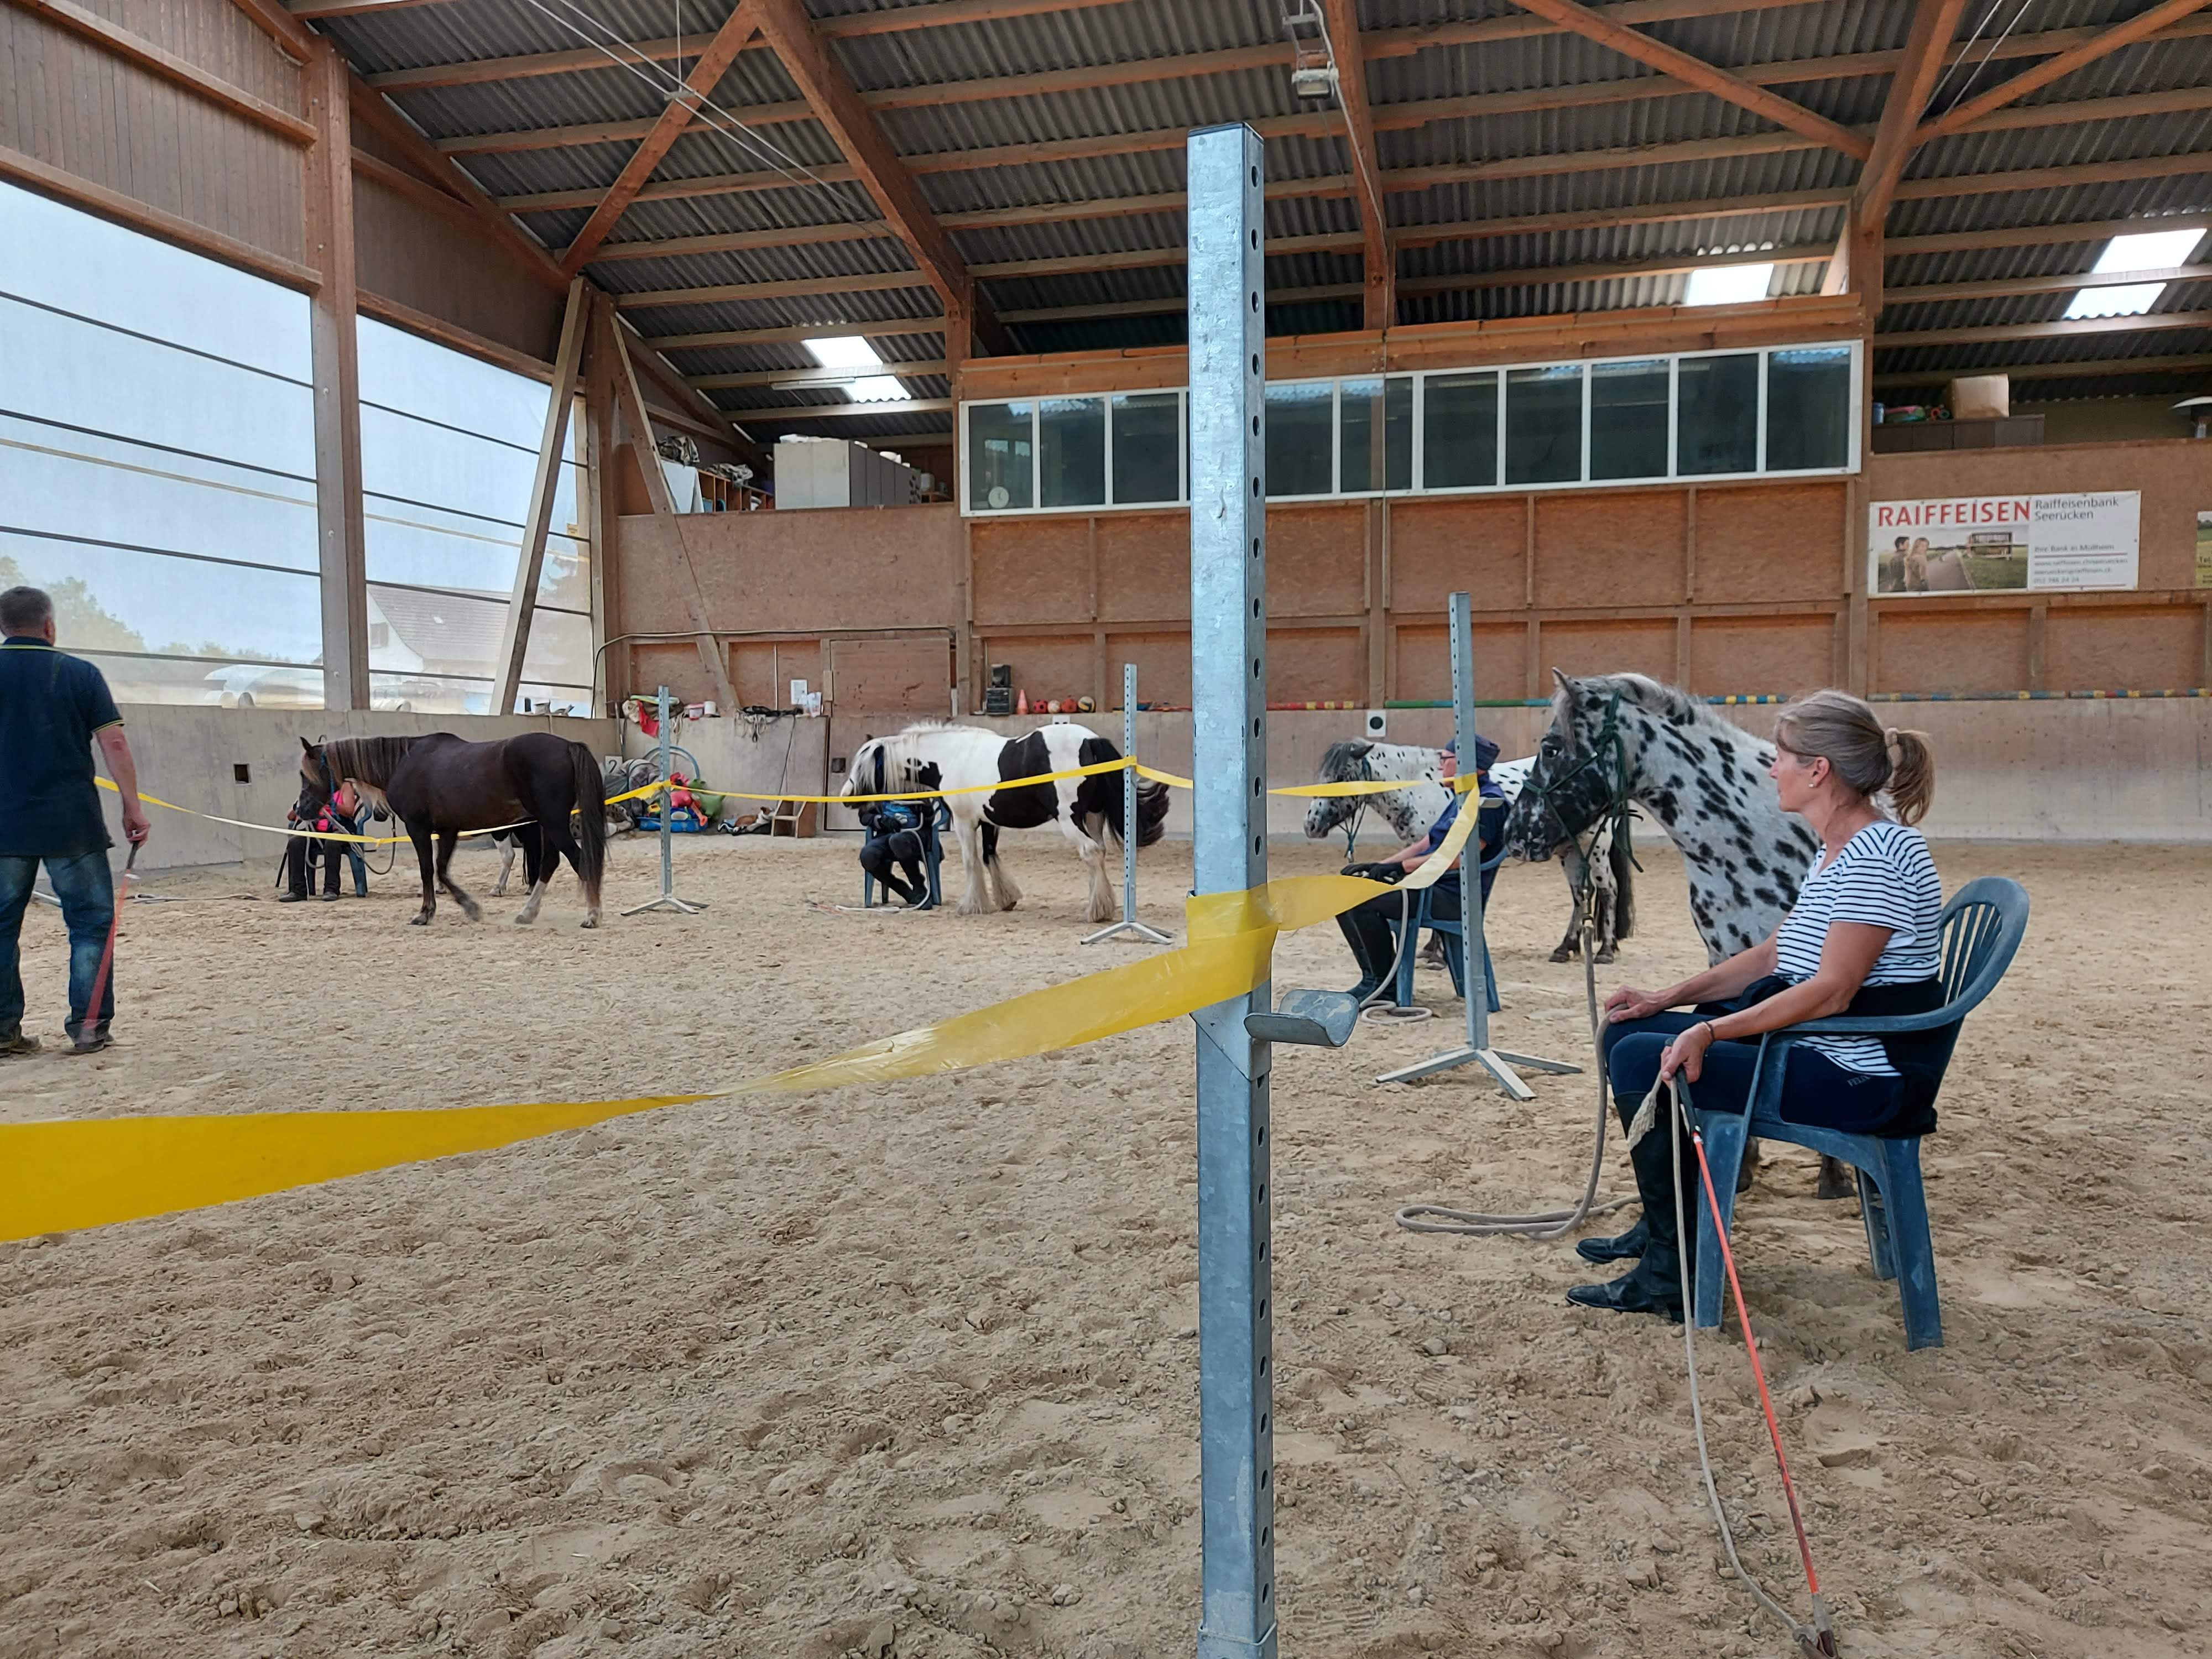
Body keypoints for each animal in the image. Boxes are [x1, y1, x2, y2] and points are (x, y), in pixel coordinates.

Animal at [298, 733, 607, 928]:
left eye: (306, 774)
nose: (301, 810)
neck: (403, 763)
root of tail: (568, 746)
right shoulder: (448, 830)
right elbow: (442, 870)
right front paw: (470, 907)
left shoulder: (418, 829)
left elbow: (428, 870)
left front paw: (425, 914)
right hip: (549, 825)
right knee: (550, 862)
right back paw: (528, 913)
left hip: (553, 823)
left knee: (578, 861)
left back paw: (592, 915)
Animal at [842, 722, 1170, 922]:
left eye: (863, 766)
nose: (845, 797)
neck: (953, 756)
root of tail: (1090, 741)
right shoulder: (989, 821)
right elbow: (990, 856)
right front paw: (1005, 899)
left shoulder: (965, 822)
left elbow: (972, 861)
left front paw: (972, 905)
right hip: (1092, 817)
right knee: (1097, 856)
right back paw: (1101, 906)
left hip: (1071, 818)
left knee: (1091, 852)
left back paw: (1096, 912)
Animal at [1303, 740, 1636, 963]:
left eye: (1340, 777)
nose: (1311, 825)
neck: (1423, 786)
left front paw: (1436, 954)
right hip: (1571, 852)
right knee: (1581, 896)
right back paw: (1565, 948)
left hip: (1595, 849)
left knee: (1608, 890)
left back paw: (1606, 950)